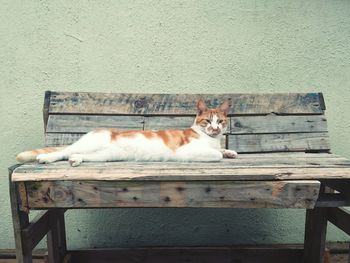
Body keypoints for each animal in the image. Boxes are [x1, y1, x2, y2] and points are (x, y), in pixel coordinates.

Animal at [15, 99, 238, 167]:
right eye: (207, 121)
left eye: (220, 121)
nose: (216, 128)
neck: (210, 139)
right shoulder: (187, 151)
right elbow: (216, 154)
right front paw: (221, 153)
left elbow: (223, 151)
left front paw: (230, 152)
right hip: (91, 143)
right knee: (63, 151)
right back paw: (46, 158)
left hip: (105, 156)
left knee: (76, 154)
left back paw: (76, 159)